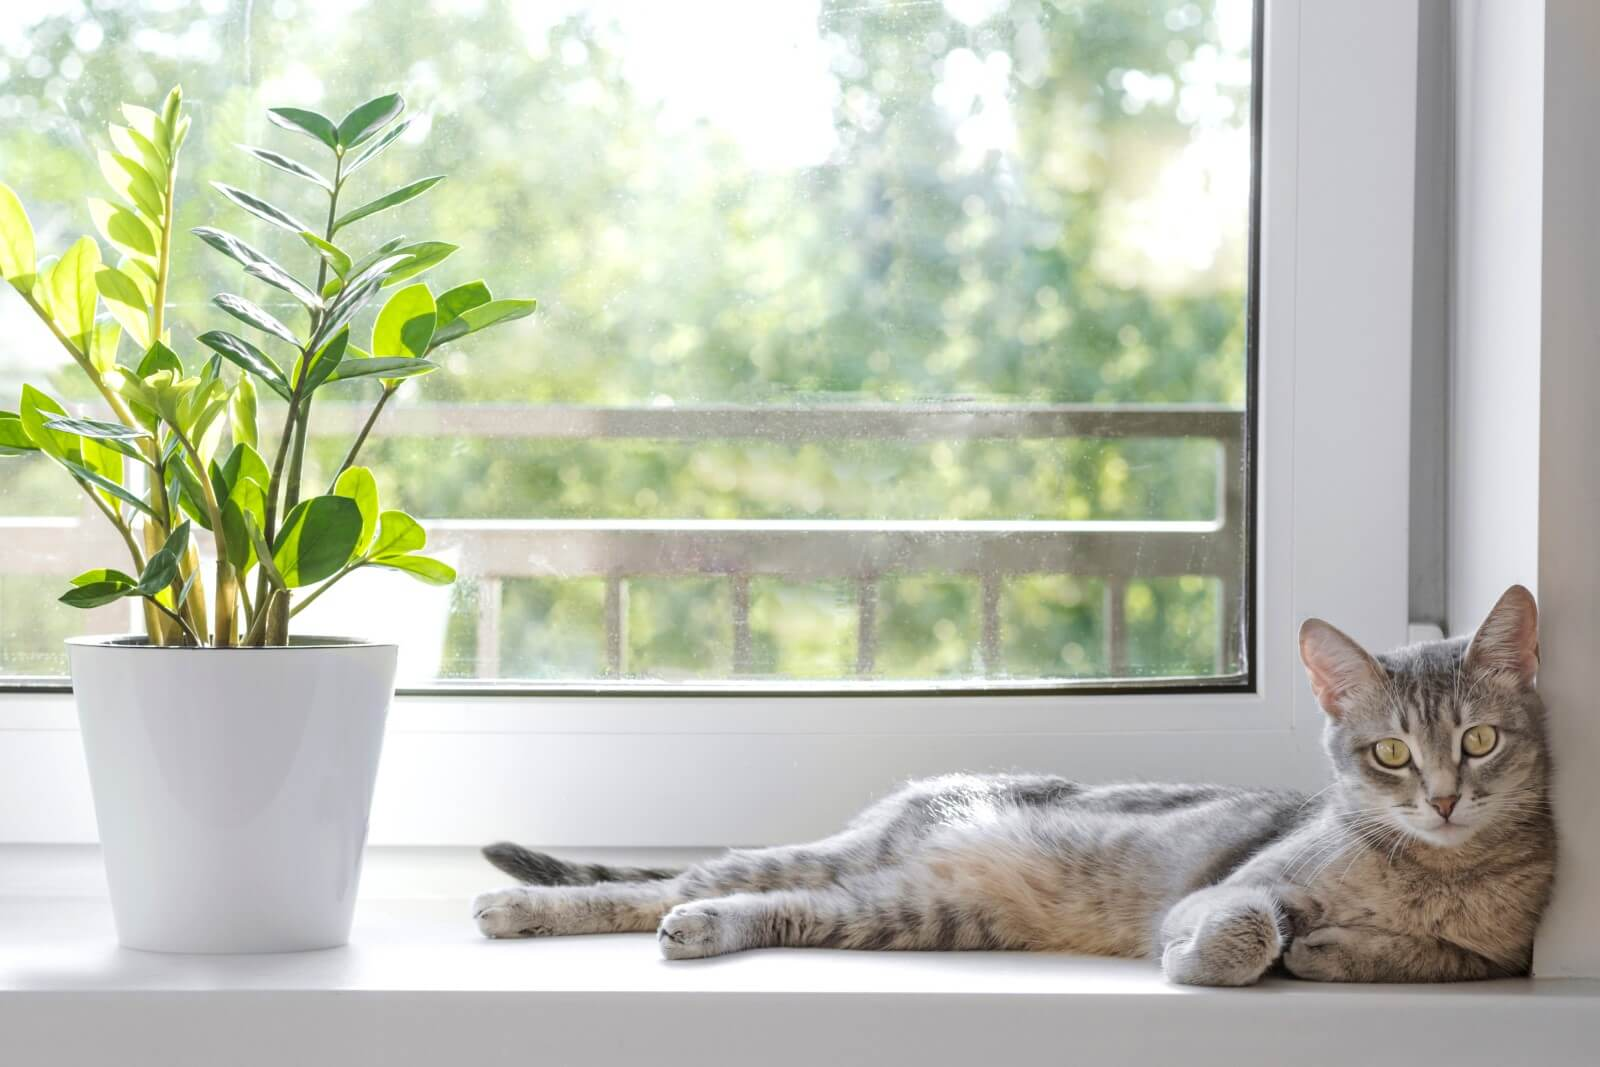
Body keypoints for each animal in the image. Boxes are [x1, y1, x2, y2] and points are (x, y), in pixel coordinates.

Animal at [470, 585, 1548, 985]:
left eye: (1479, 740)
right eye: (1391, 754)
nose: (1443, 798)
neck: (1431, 873)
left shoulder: (1495, 955)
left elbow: (1417, 956)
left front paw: (1327, 949)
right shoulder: (1235, 883)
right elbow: (1242, 928)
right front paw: (1212, 955)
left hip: (902, 909)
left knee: (765, 903)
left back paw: (700, 931)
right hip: (848, 859)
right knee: (671, 880)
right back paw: (515, 907)